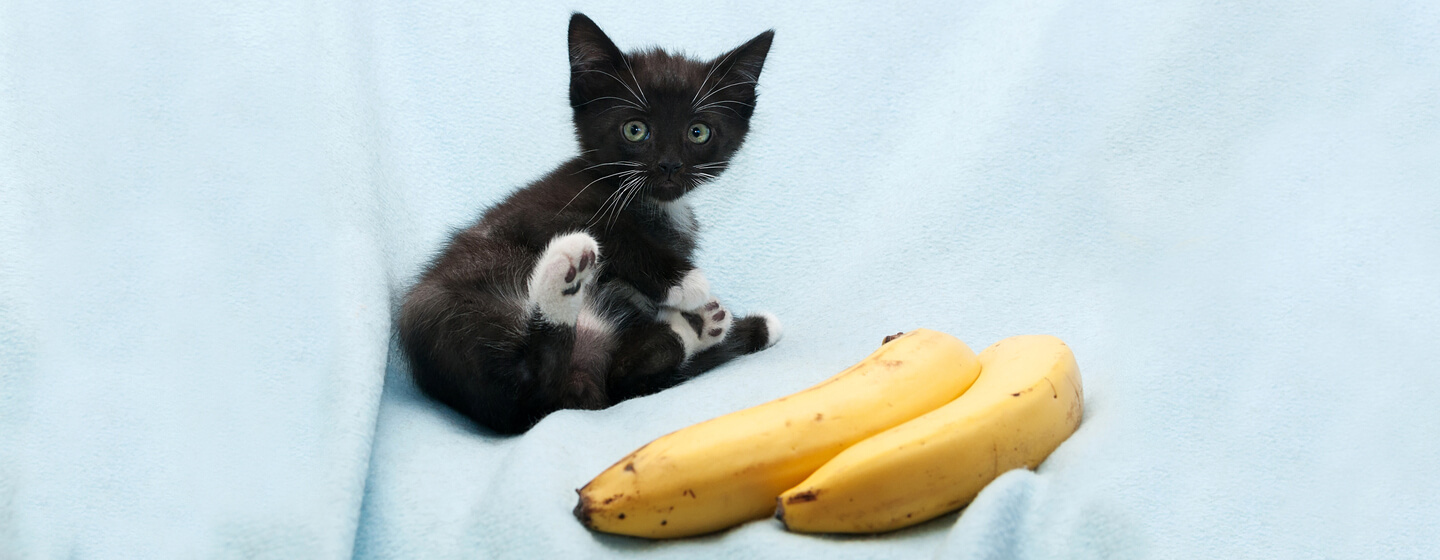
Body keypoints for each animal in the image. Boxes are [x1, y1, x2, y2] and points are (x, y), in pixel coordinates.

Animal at [400, 11, 783, 431]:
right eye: (635, 129)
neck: (652, 203)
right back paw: (566, 275)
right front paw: (684, 281)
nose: (669, 165)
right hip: (446, 313)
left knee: (620, 376)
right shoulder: (540, 210)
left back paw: (705, 327)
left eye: (698, 132)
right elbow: (611, 231)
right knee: (530, 378)